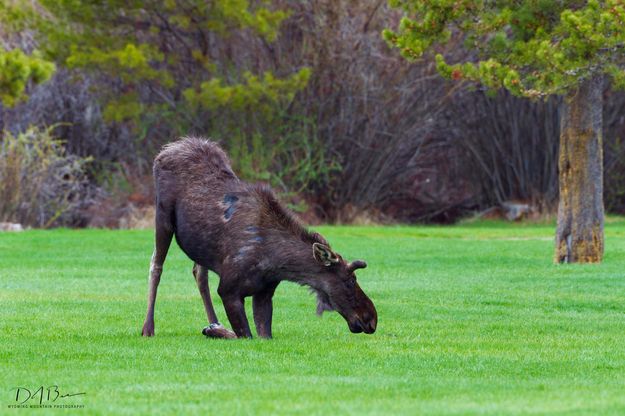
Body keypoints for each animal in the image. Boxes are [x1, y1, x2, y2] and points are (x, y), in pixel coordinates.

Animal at [141, 136, 376, 338]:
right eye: (350, 281)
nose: (371, 319)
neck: (274, 262)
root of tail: (168, 148)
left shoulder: (264, 293)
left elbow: (262, 334)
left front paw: (216, 329)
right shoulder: (228, 290)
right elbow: (245, 335)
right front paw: (218, 331)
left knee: (199, 272)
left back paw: (214, 322)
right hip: (163, 216)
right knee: (156, 265)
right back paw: (148, 327)